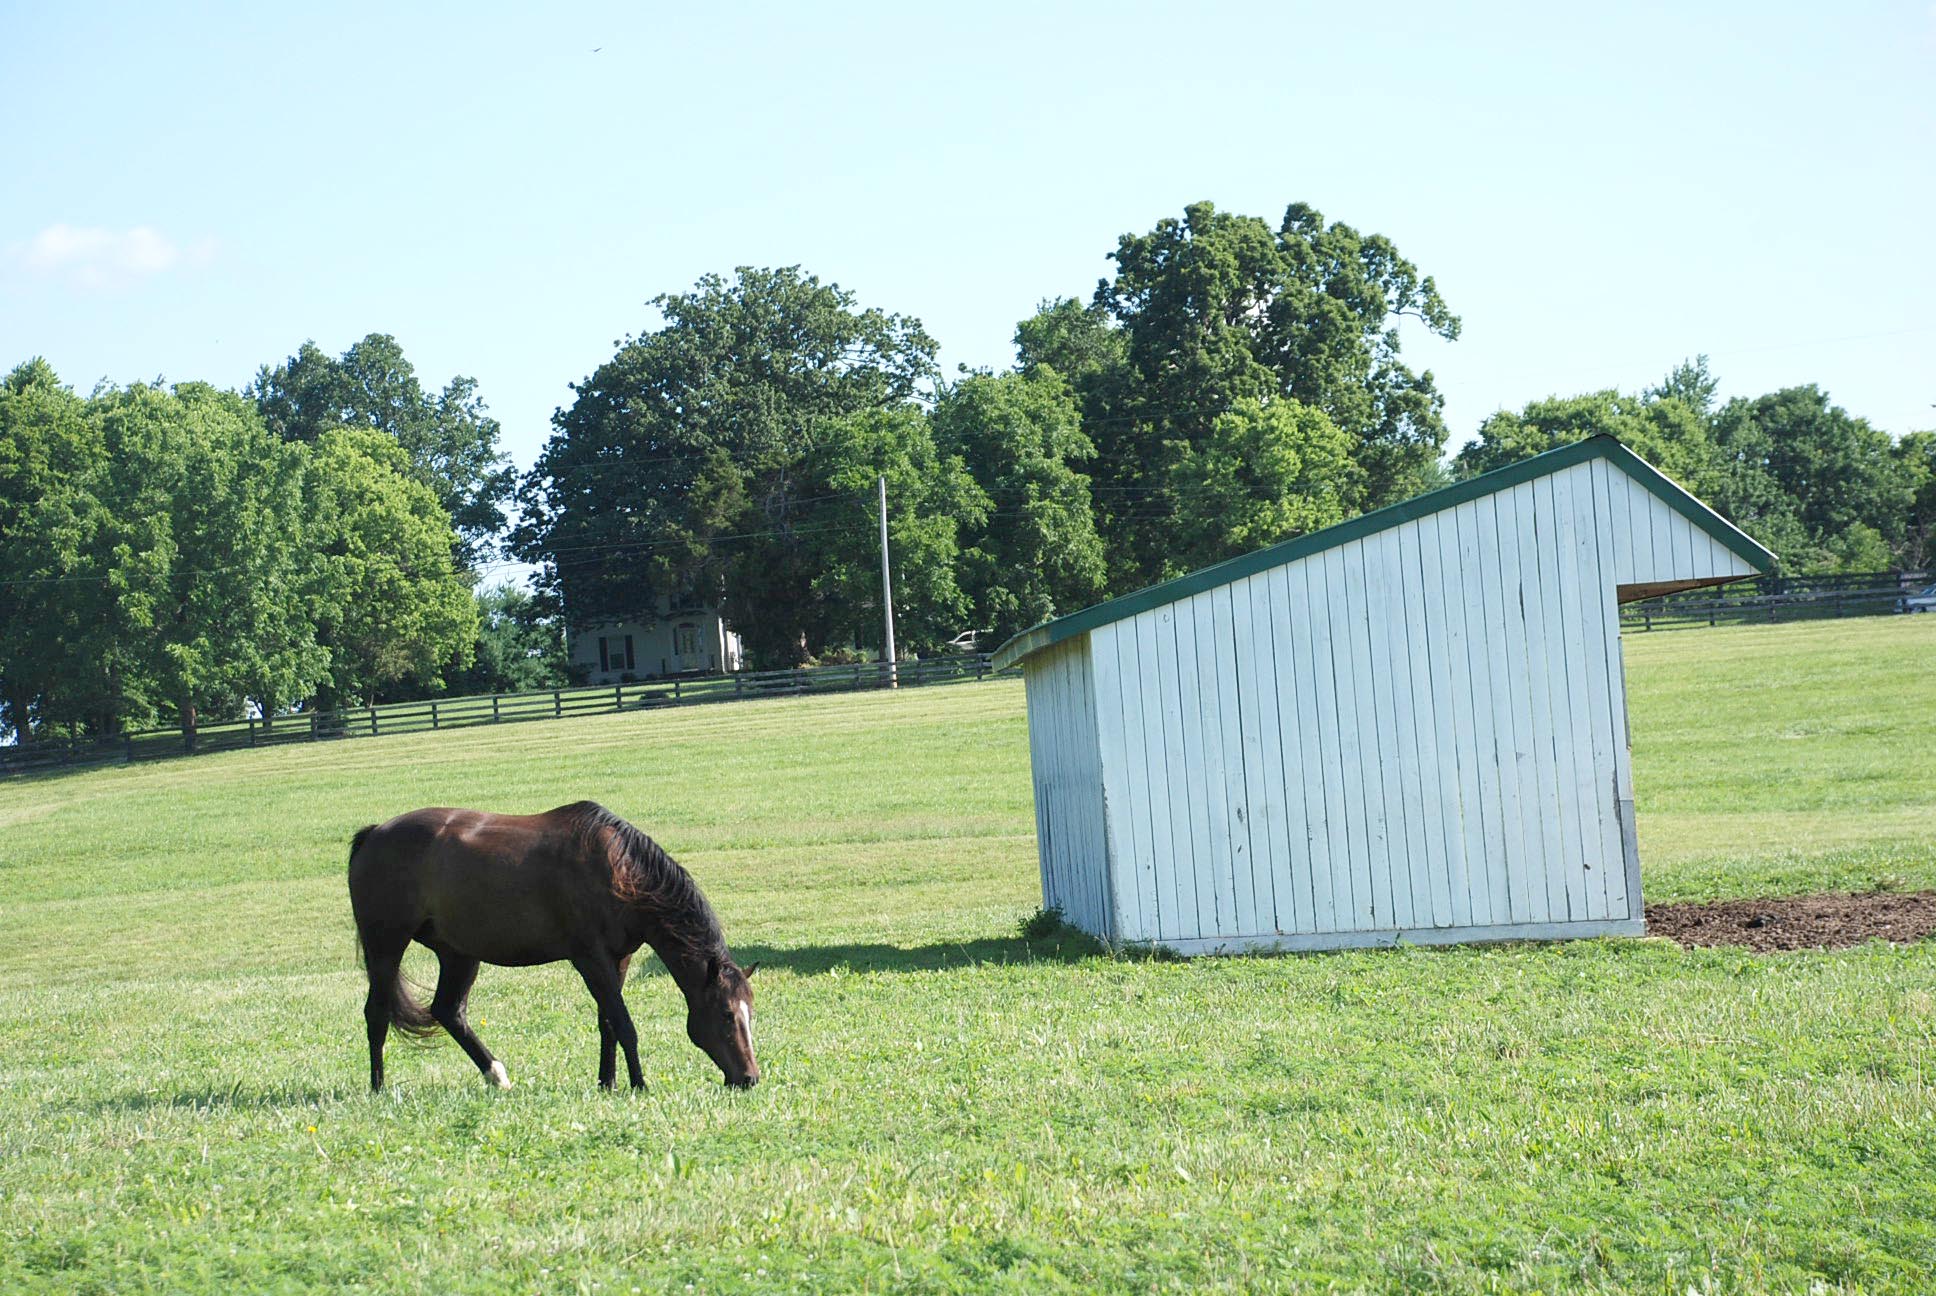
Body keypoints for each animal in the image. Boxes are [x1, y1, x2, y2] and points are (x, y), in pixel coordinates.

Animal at [348, 798, 755, 1092]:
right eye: (726, 1014)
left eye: (750, 1012)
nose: (750, 1078)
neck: (618, 872)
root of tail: (374, 834)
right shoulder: (590, 959)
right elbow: (624, 1024)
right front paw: (639, 1085)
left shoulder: (619, 959)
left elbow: (607, 1022)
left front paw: (607, 1083)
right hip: (385, 946)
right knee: (377, 1013)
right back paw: (378, 1087)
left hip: (458, 954)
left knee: (448, 1011)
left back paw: (496, 1076)